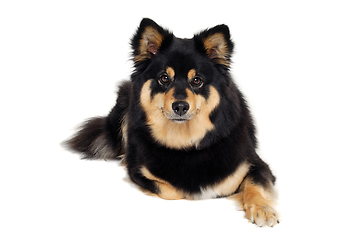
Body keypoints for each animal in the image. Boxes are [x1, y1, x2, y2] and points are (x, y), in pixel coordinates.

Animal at [66, 17, 280, 226]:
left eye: (197, 80)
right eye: (164, 78)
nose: (180, 106)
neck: (186, 142)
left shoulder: (256, 164)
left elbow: (255, 185)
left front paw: (262, 208)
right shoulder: (139, 172)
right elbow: (174, 190)